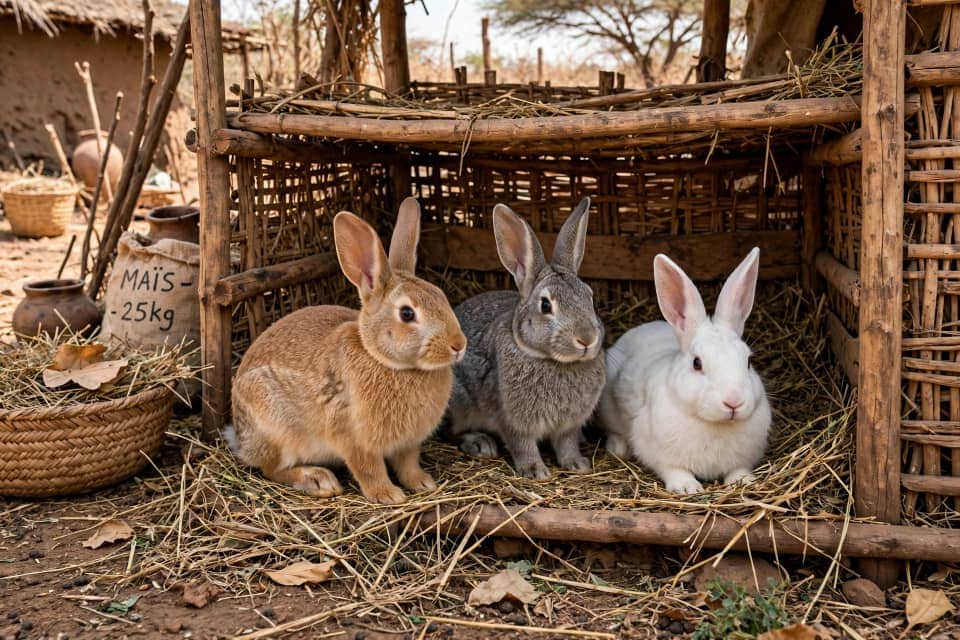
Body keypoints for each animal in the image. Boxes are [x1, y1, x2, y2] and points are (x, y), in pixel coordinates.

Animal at [226, 198, 467, 504]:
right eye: (407, 313)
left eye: (441, 296)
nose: (458, 345)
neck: (383, 359)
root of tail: (240, 437)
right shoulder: (352, 436)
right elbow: (368, 468)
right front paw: (388, 495)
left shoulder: (408, 444)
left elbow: (408, 463)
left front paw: (423, 483)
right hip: (276, 428)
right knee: (271, 468)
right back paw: (318, 480)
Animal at [446, 197, 606, 480]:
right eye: (545, 305)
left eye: (590, 296)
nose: (586, 339)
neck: (553, 361)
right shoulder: (513, 420)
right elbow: (522, 444)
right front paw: (535, 470)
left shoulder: (569, 424)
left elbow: (567, 442)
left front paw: (577, 464)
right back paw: (480, 443)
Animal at [598, 248, 771, 495]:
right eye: (697, 363)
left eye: (748, 361)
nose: (733, 402)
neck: (714, 423)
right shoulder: (658, 454)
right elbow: (674, 470)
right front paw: (688, 487)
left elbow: (737, 470)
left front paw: (745, 481)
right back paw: (618, 448)